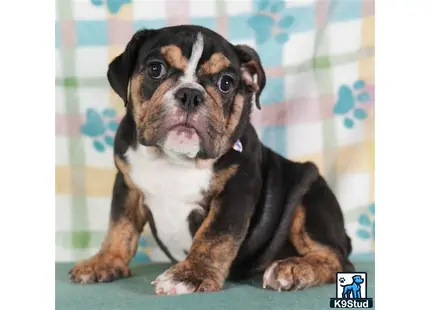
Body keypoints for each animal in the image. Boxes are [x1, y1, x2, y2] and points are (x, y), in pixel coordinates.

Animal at [69, 25, 354, 294]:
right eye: (155, 68)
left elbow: (214, 237)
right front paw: (104, 262)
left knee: (335, 258)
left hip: (310, 199)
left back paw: (292, 269)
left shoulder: (235, 192)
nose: (190, 94)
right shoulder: (126, 184)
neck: (175, 159)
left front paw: (191, 276)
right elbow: (119, 227)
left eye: (226, 83)